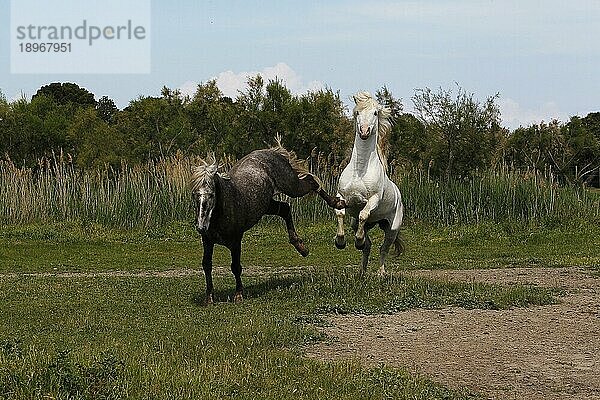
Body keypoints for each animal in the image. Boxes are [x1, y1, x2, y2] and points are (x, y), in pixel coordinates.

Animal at [195, 143, 344, 304]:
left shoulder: (236, 240)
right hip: (267, 205)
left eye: (211, 195)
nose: (201, 227)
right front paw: (209, 297)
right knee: (285, 209)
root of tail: (274, 152)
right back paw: (300, 246)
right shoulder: (207, 241)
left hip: (290, 185)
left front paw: (239, 295)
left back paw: (336, 203)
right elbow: (207, 265)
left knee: (310, 181)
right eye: (195, 195)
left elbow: (235, 267)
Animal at [332, 92, 404, 274]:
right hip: (358, 224)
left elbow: (364, 214)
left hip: (392, 228)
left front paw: (358, 241)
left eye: (375, 113)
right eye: (357, 112)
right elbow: (340, 214)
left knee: (383, 248)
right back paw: (362, 272)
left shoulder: (373, 200)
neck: (360, 170)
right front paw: (340, 241)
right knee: (368, 246)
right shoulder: (341, 197)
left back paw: (381, 273)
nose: (364, 131)